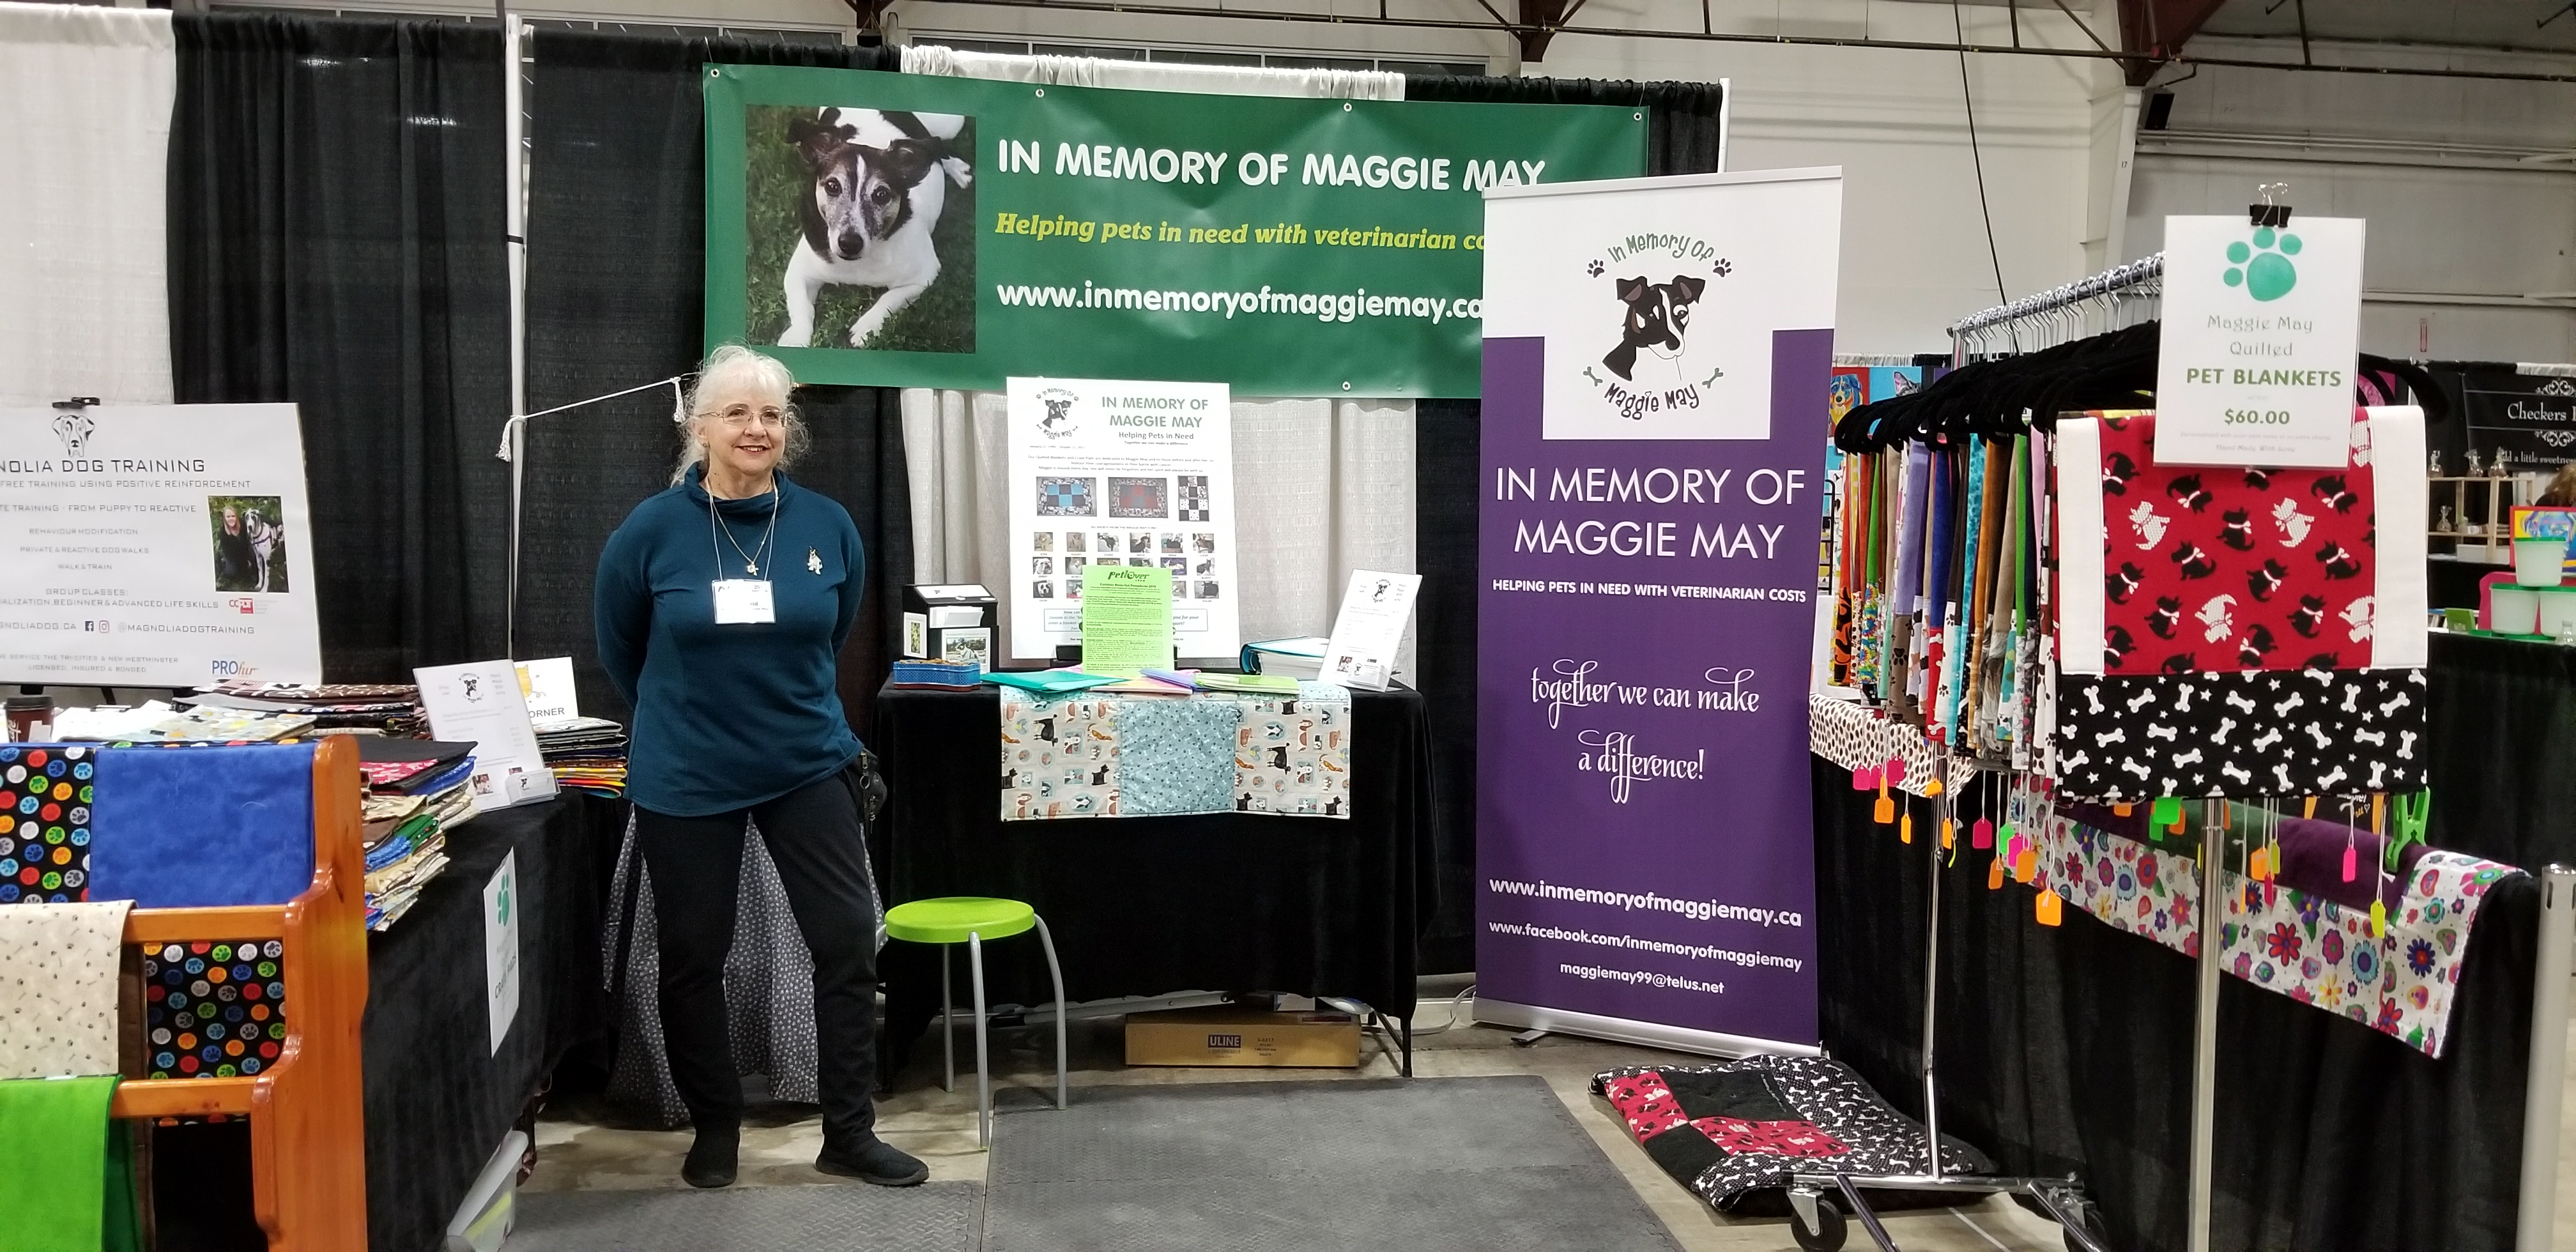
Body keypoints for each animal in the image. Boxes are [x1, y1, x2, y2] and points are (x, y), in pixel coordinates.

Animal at [778, 107, 972, 349]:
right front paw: (796, 338)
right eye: (832, 186)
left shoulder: (925, 275)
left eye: (882, 194)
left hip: (951, 124)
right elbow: (801, 307)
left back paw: (956, 168)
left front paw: (866, 327)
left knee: (938, 148)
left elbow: (889, 299)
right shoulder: (799, 271)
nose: (850, 244)